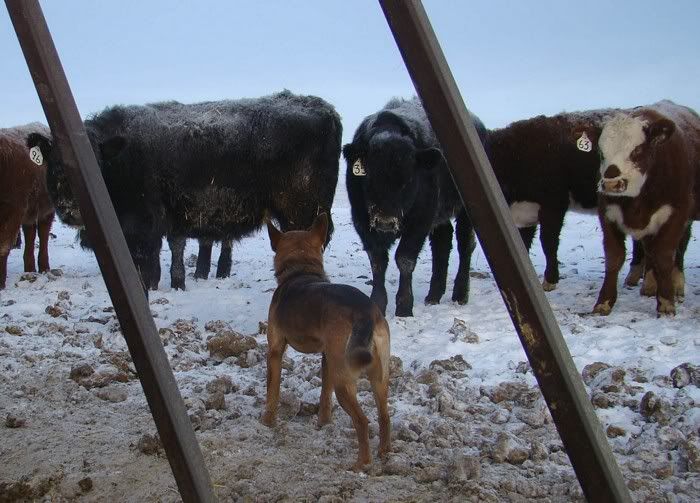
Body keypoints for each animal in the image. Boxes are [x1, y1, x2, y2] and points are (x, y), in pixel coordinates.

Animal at [0, 123, 55, 289]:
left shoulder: (14, 210)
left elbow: (3, 246)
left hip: (45, 208)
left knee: (43, 233)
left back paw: (43, 267)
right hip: (30, 210)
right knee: (30, 234)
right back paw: (29, 268)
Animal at [28, 90, 341, 291]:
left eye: (92, 162)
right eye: (53, 164)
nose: (69, 208)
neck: (123, 158)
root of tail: (325, 108)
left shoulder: (143, 225)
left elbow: (149, 258)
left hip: (302, 213)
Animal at [342, 97, 488, 317]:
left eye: (408, 180)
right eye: (369, 178)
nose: (385, 222)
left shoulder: (420, 221)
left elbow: (405, 259)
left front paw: (404, 307)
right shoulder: (362, 220)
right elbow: (377, 261)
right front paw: (377, 303)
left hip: (466, 211)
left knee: (465, 245)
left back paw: (460, 294)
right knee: (442, 242)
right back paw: (434, 295)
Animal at [592, 100, 700, 316]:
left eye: (637, 150)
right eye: (601, 152)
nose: (611, 183)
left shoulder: (676, 214)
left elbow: (665, 255)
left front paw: (666, 302)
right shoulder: (607, 214)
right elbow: (614, 257)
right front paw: (604, 301)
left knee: (679, 248)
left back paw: (677, 284)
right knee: (649, 250)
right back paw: (650, 284)